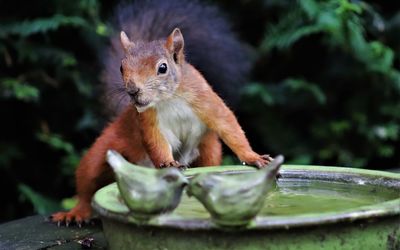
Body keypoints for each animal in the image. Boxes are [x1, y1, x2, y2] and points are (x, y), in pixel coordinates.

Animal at [50, 0, 272, 226]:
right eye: (122, 67)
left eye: (162, 68)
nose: (133, 90)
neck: (169, 99)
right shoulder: (147, 118)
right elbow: (156, 141)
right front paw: (168, 163)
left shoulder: (205, 99)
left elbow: (228, 125)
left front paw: (252, 157)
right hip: (102, 153)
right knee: (87, 188)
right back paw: (75, 213)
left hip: (208, 149)